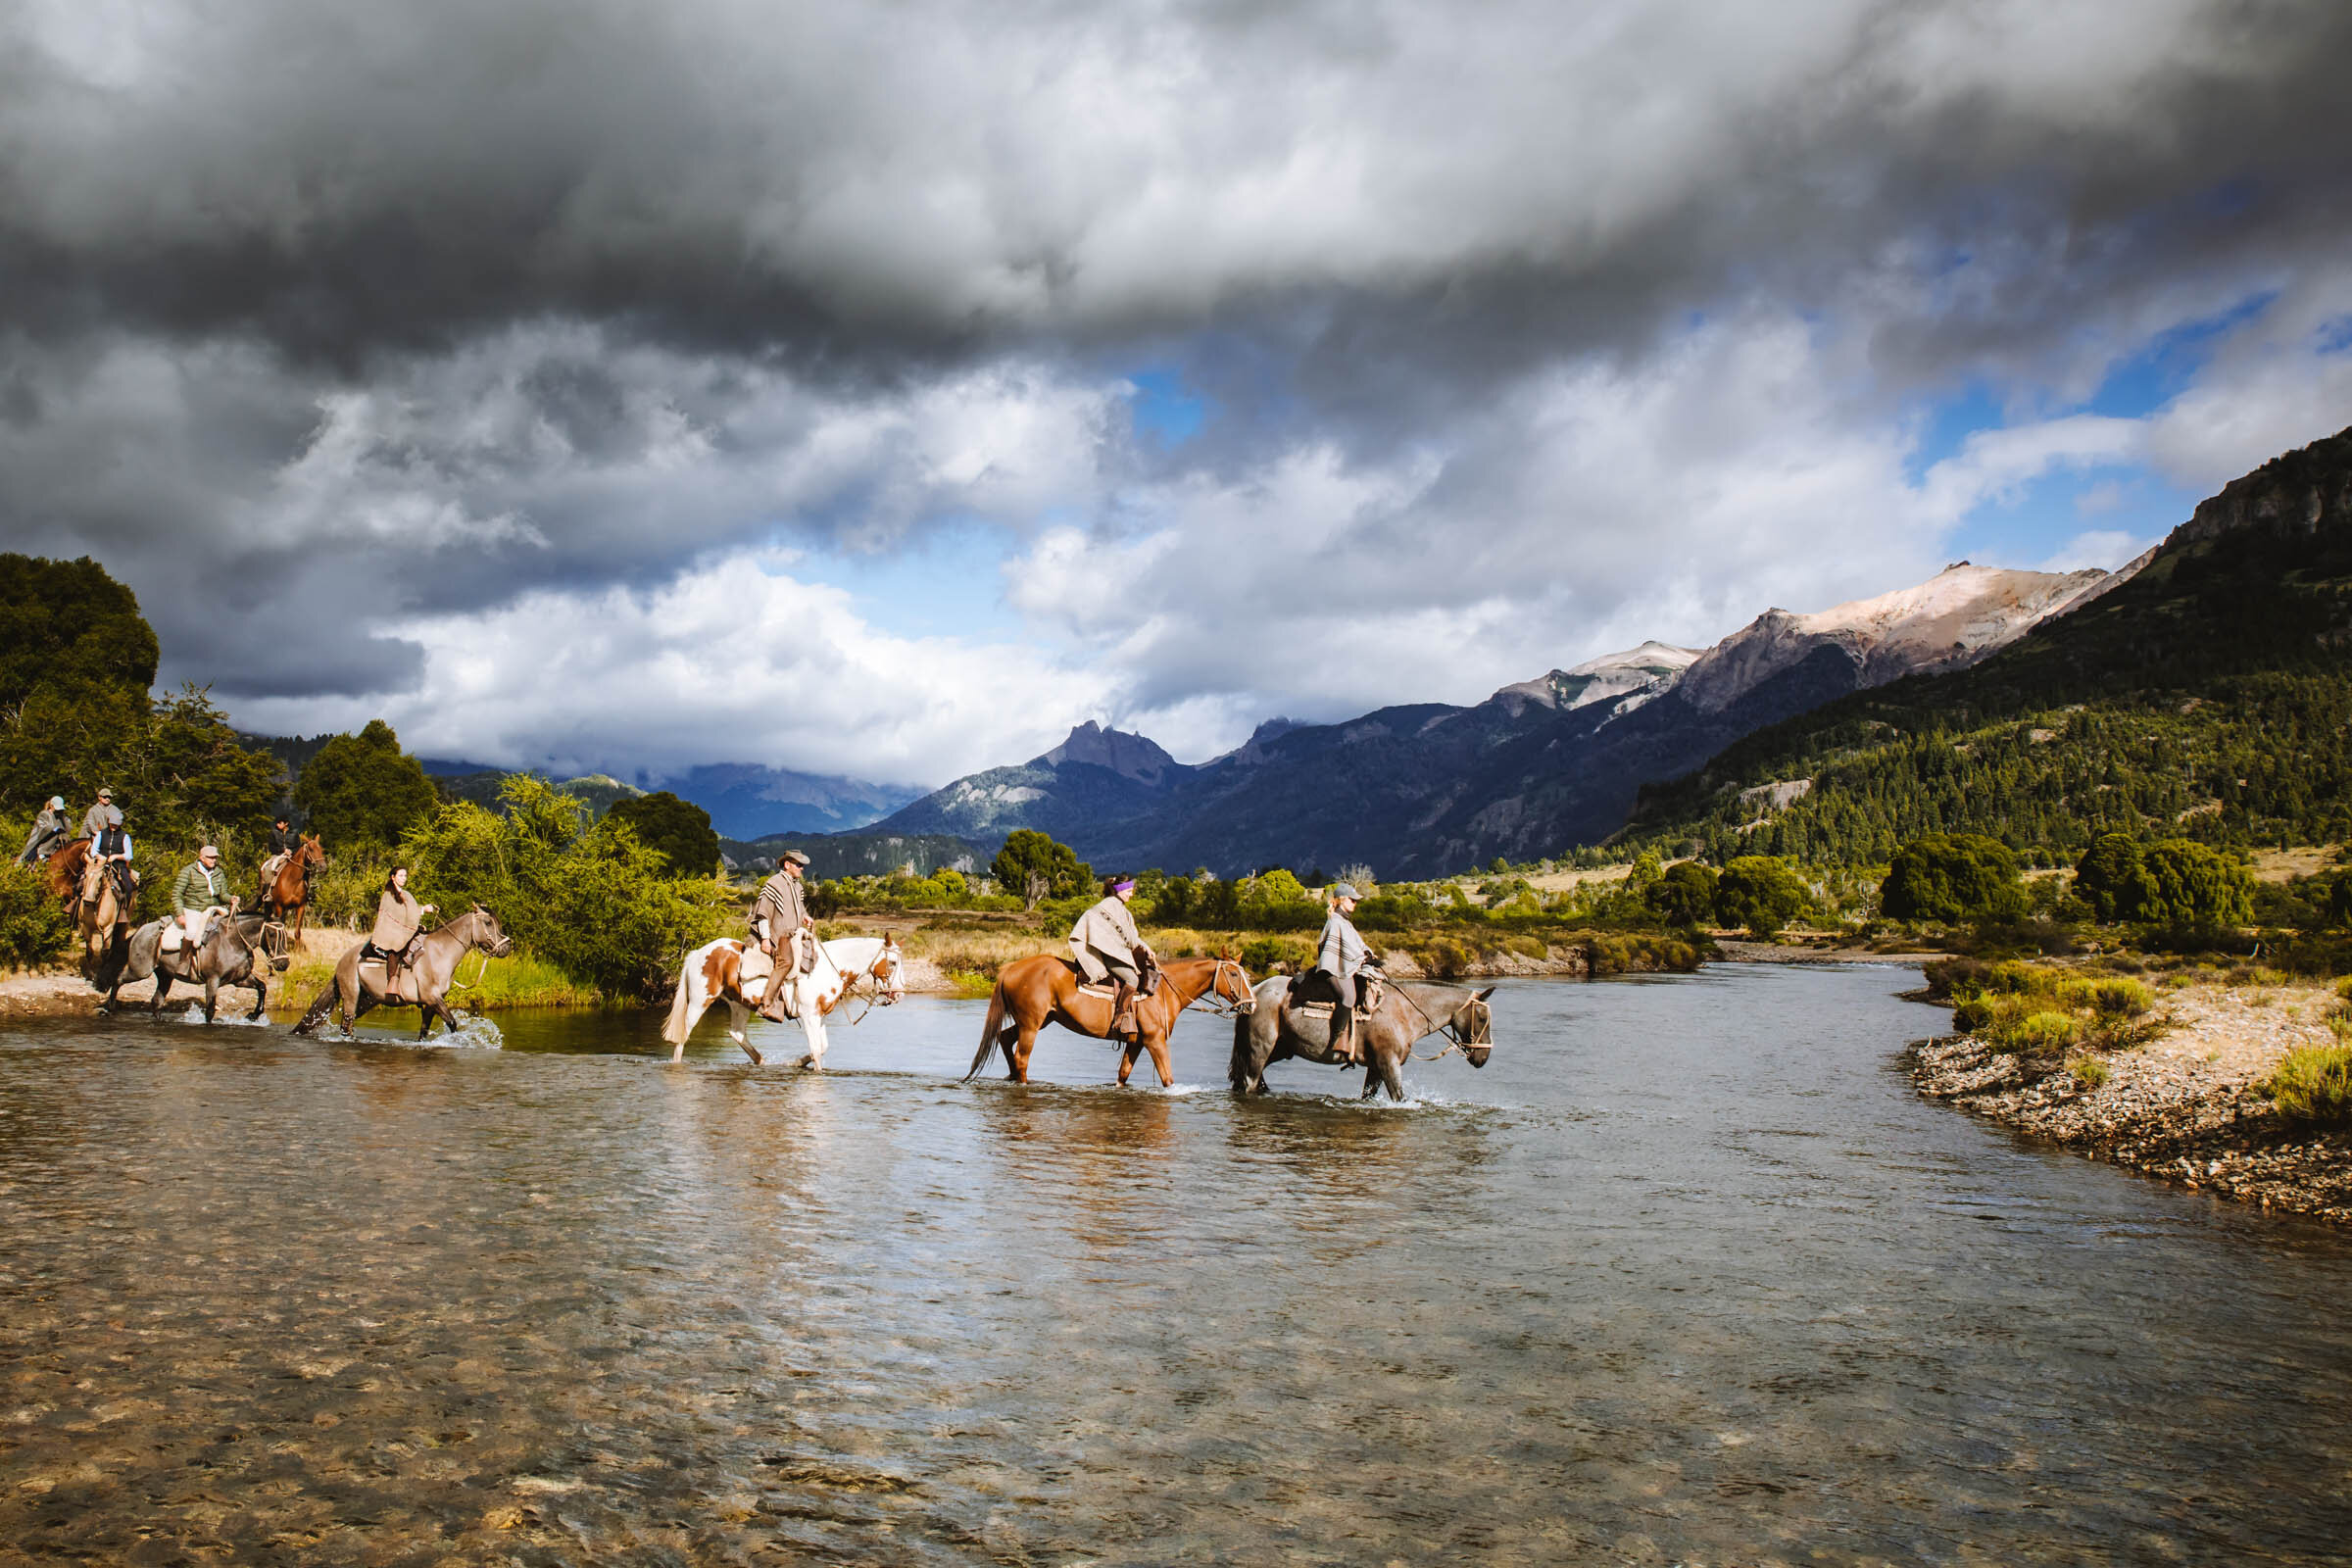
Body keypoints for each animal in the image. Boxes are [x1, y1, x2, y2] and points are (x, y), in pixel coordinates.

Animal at [103, 906, 291, 1029]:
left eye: (286, 936)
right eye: (272, 934)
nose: (284, 964)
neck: (233, 942)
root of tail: (139, 932)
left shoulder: (240, 979)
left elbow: (262, 987)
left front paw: (253, 1015)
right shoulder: (213, 980)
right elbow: (210, 1009)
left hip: (165, 976)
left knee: (156, 1002)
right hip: (141, 971)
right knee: (118, 979)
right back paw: (108, 1008)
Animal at [288, 906, 514, 1044]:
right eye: (488, 923)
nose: (507, 947)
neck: (440, 953)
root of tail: (343, 960)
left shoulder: (430, 1004)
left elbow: (423, 1032)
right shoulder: (433, 998)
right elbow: (452, 1023)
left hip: (368, 1000)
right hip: (351, 996)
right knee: (346, 1024)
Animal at [677, 930, 912, 1067]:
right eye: (892, 962)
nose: (898, 994)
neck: (828, 967)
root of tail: (699, 952)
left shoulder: (820, 1016)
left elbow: (822, 1047)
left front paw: (796, 1063)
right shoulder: (809, 1016)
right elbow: (817, 1050)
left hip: (739, 1005)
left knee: (737, 1034)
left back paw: (762, 1062)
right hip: (700, 1000)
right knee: (683, 1035)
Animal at [955, 958, 1260, 1091]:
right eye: (1234, 974)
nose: (1251, 1003)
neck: (1164, 991)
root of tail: (1010, 968)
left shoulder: (1136, 1043)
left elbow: (1123, 1075)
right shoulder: (1155, 1041)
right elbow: (1167, 1078)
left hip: (1039, 1020)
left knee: (1005, 1039)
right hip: (1031, 1024)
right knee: (1022, 1058)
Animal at [1232, 968, 1486, 1104]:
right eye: (1483, 1018)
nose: (1482, 1059)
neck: (1404, 1011)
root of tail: (1255, 991)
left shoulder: (1375, 1068)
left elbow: (1368, 1095)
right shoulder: (1388, 1063)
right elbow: (1399, 1096)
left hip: (1281, 1049)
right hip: (1260, 1047)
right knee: (1250, 1081)